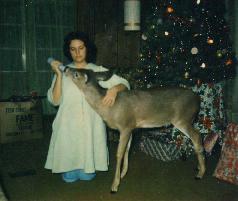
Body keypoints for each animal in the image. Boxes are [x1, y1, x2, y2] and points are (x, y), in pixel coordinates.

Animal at [64, 68, 205, 193]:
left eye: (76, 74)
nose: (65, 68)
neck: (109, 108)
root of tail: (198, 99)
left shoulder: (125, 126)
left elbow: (119, 153)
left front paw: (114, 185)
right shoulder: (131, 127)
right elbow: (128, 149)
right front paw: (123, 174)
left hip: (182, 119)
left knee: (197, 136)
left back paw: (201, 173)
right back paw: (198, 167)